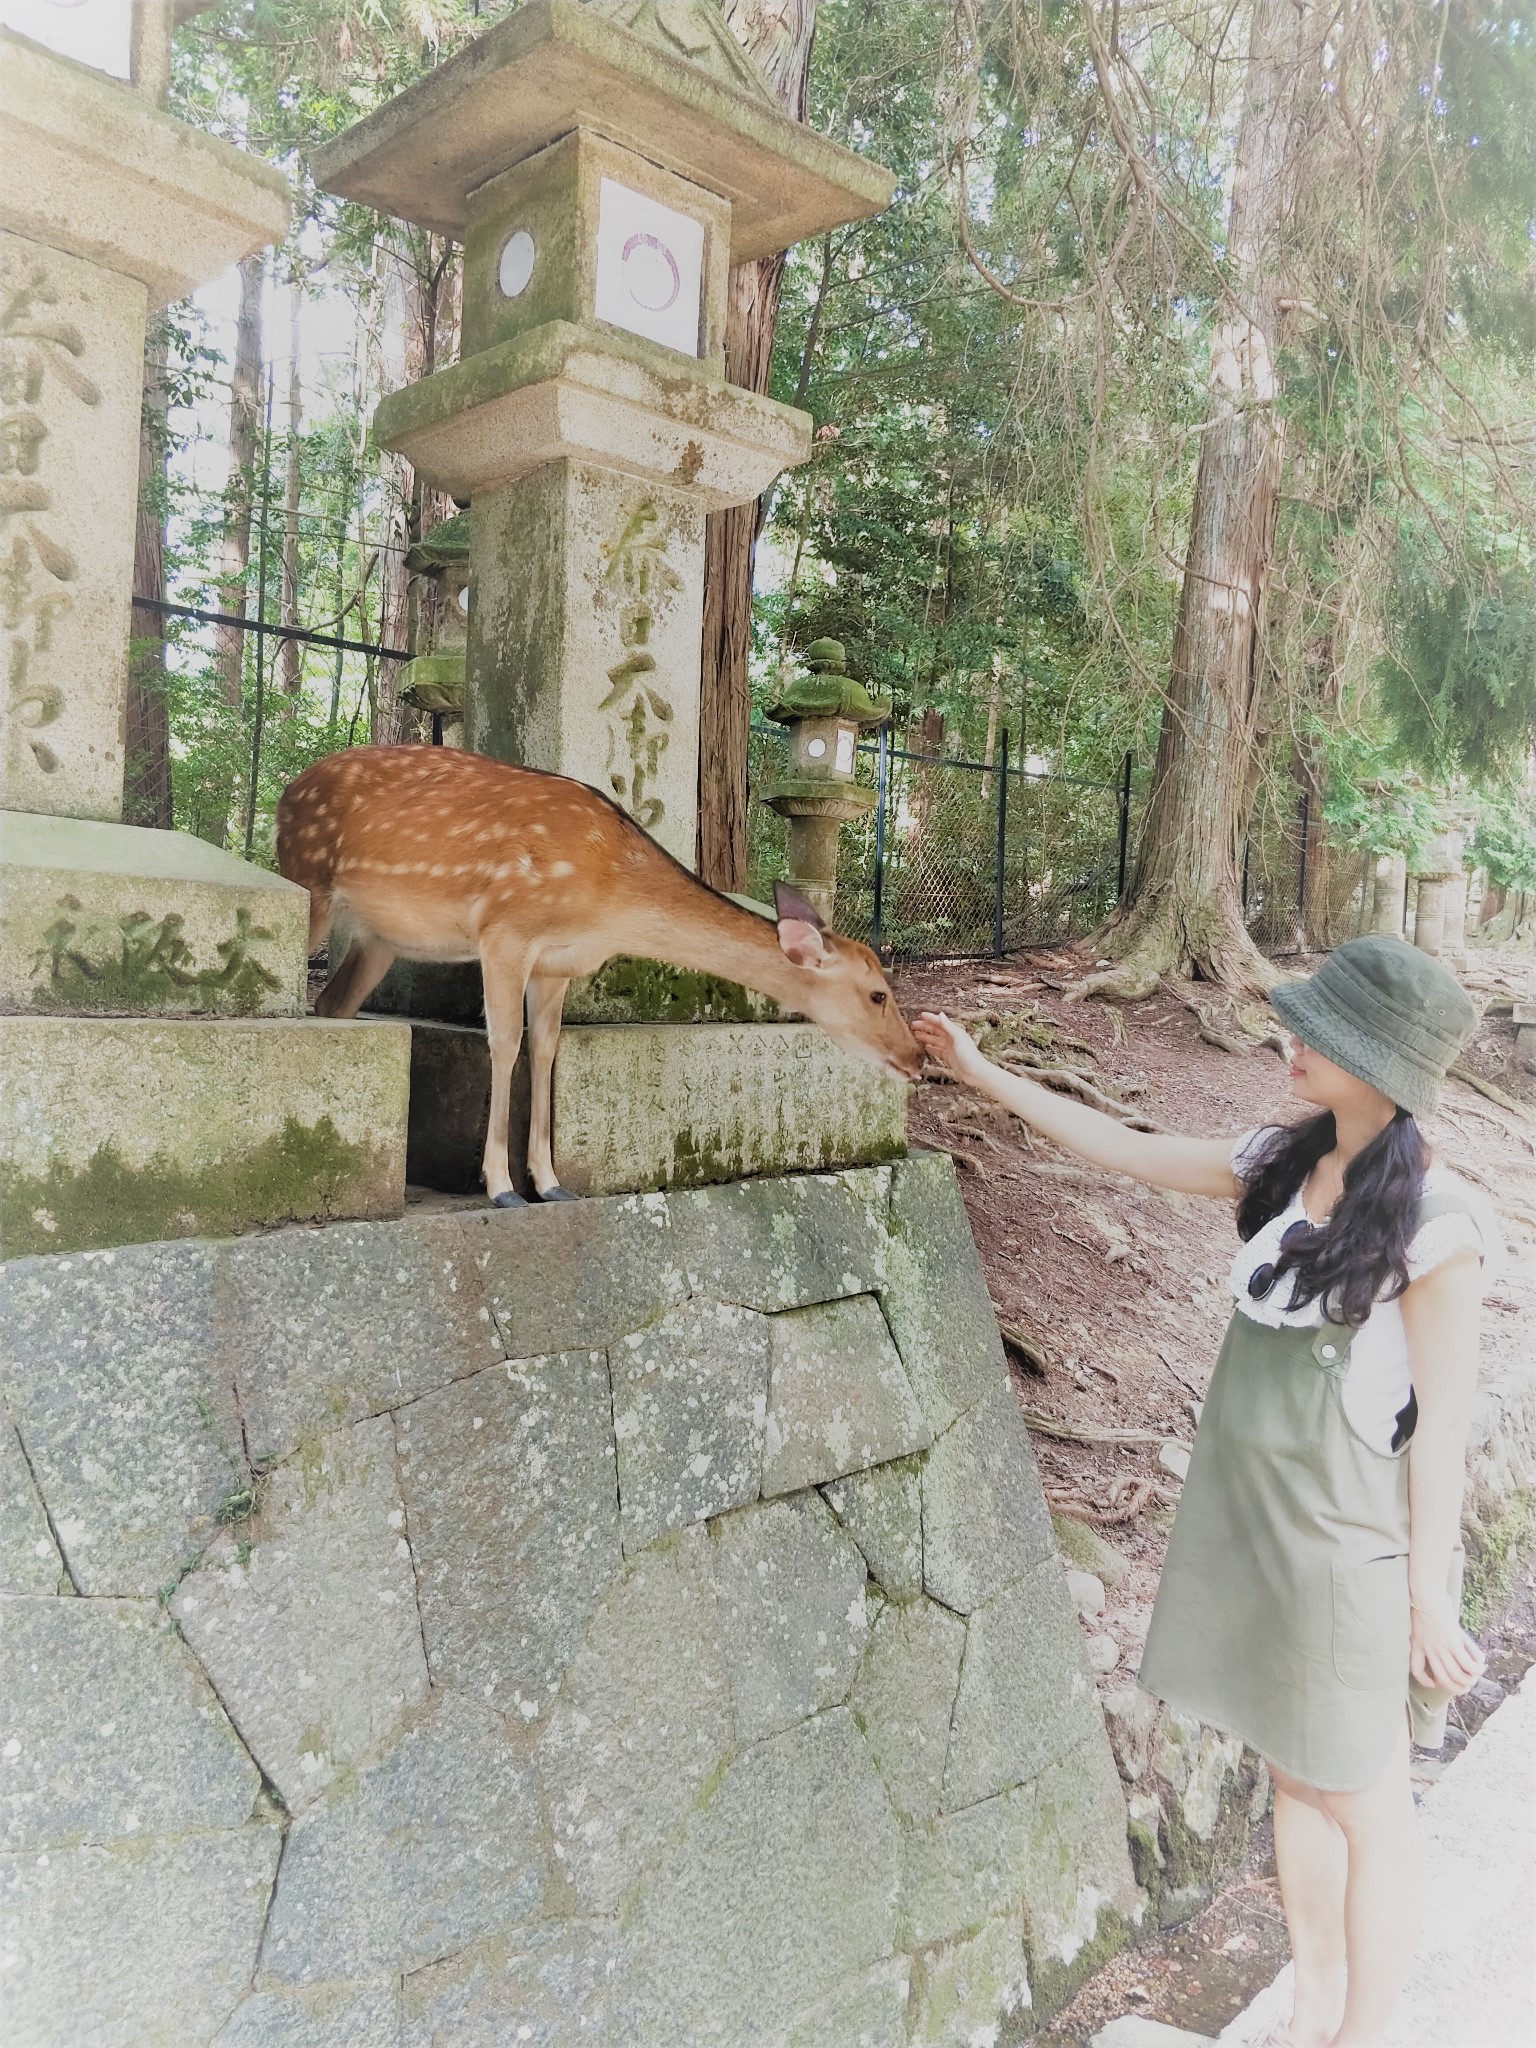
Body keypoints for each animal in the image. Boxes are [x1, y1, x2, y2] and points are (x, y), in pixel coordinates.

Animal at [274, 749, 925, 1196]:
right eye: (878, 994)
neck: (609, 898)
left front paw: (549, 1182)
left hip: (379, 938)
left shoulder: (558, 962)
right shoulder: (505, 930)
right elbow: (506, 1044)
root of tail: (286, 792)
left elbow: (546, 1049)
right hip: (307, 881)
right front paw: (501, 1187)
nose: (918, 1057)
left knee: (334, 1003)